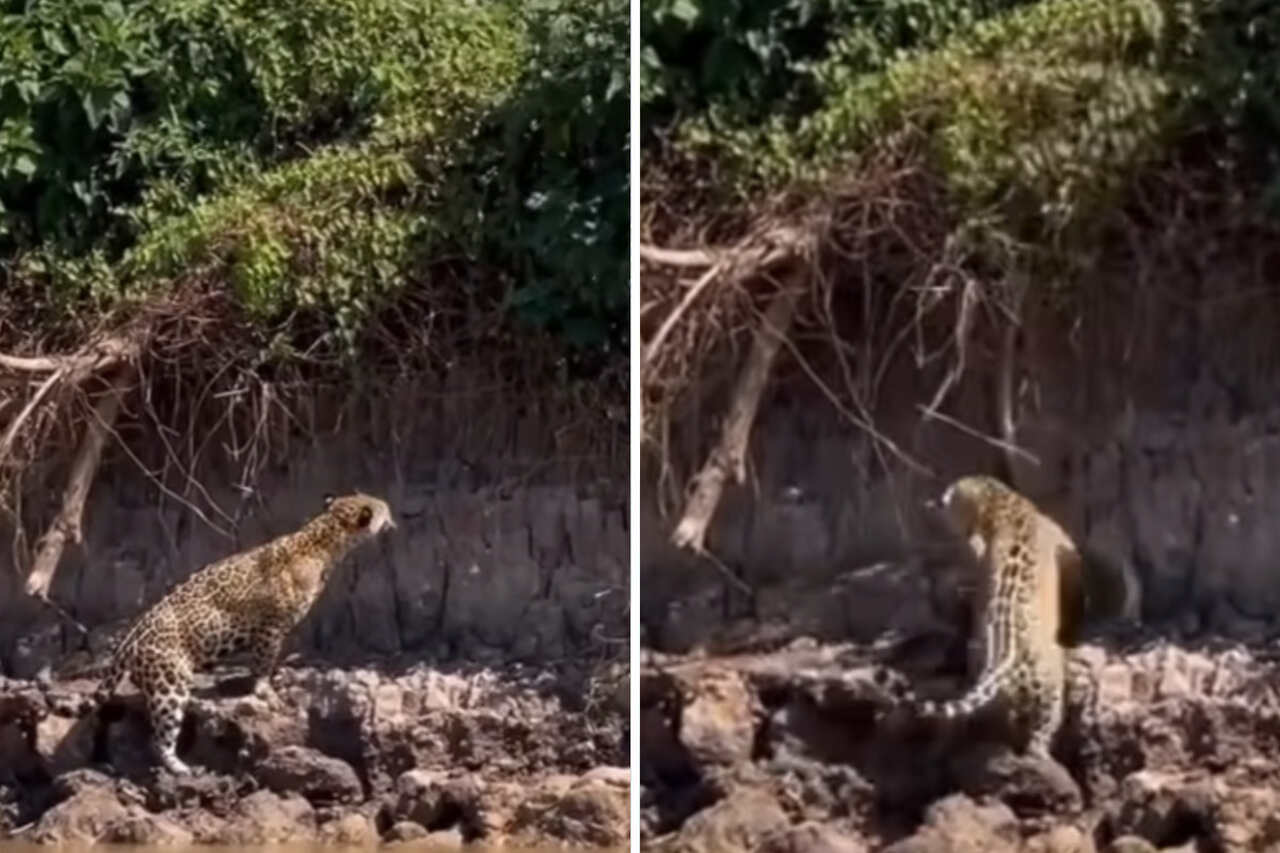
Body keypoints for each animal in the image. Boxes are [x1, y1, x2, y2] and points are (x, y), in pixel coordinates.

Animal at [91, 492, 395, 774]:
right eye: (385, 510)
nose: (392, 519)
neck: (324, 538)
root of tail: (130, 637)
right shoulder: (271, 627)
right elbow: (263, 662)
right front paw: (265, 690)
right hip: (170, 684)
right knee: (160, 736)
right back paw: (179, 767)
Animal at [901, 474, 1084, 760]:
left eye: (947, 499)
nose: (933, 503)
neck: (1000, 503)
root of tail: (1002, 657)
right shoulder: (1065, 548)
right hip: (1049, 687)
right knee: (1039, 735)